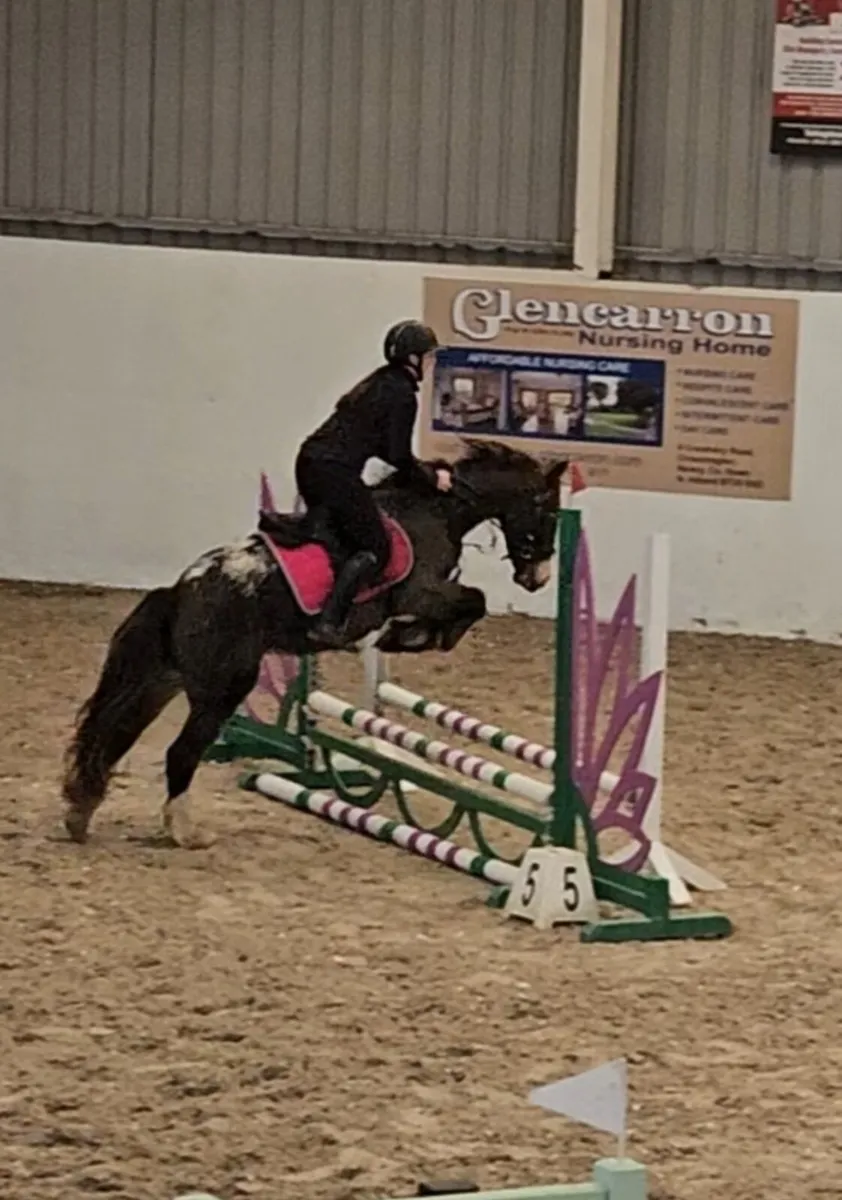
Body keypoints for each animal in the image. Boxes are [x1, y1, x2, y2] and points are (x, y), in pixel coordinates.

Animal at [62, 441, 567, 849]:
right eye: (550, 515)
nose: (538, 578)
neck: (436, 511)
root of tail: (179, 592)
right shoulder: (423, 592)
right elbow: (473, 601)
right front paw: (411, 636)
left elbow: (469, 603)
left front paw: (410, 637)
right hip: (224, 688)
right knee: (180, 752)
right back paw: (185, 833)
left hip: (161, 682)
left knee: (113, 736)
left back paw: (80, 813)